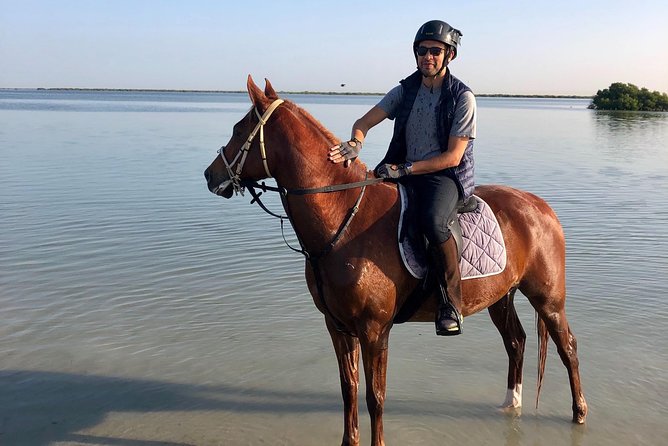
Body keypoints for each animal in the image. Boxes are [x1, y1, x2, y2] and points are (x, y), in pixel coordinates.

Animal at [202, 76, 584, 446]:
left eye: (238, 129)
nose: (209, 174)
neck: (345, 218)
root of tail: (540, 206)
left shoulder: (374, 330)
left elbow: (375, 397)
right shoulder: (338, 327)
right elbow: (349, 390)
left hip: (547, 300)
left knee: (568, 347)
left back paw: (579, 412)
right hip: (500, 297)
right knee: (516, 342)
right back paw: (510, 404)